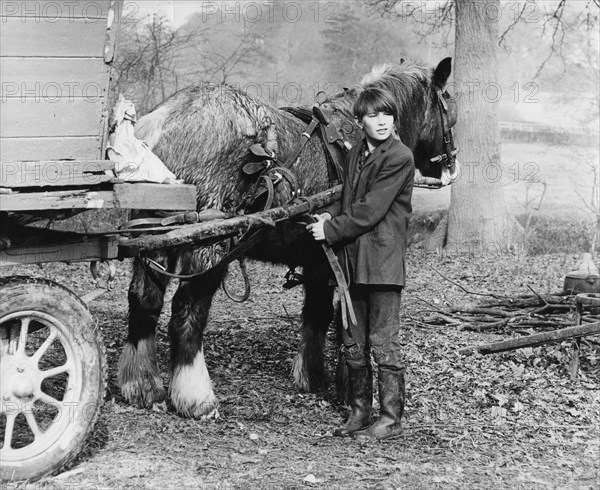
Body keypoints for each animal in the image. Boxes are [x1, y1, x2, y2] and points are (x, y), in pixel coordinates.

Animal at [119, 56, 462, 418]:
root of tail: (164, 120)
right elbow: (342, 324)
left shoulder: (318, 262)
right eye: (449, 107)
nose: (452, 164)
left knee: (144, 301)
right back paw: (196, 396)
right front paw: (343, 384)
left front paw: (311, 375)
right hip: (208, 248)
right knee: (186, 313)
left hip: (153, 239)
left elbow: (316, 315)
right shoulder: (337, 263)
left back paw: (141, 384)